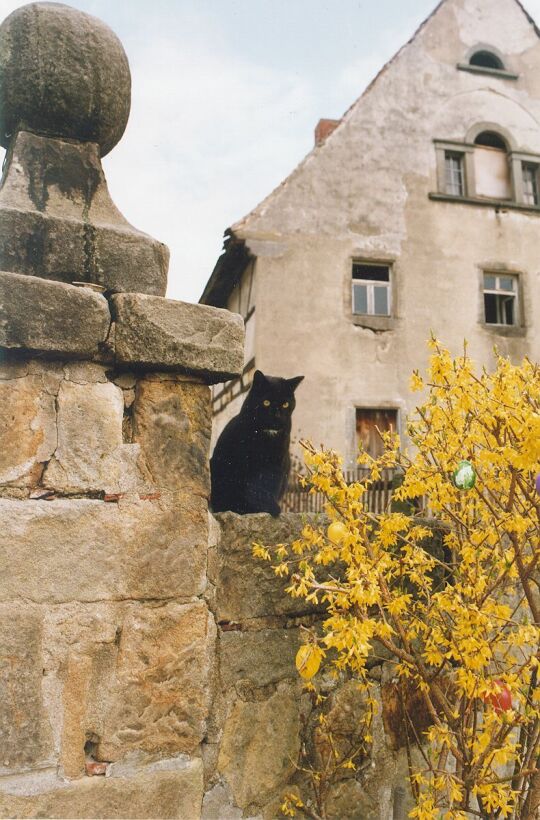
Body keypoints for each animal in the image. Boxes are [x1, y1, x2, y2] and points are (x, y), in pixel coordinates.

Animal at [210, 374, 304, 520]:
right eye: (266, 402)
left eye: (285, 404)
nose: (276, 416)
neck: (266, 435)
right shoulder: (242, 461)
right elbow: (249, 487)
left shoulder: (276, 462)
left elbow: (267, 484)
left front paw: (269, 508)